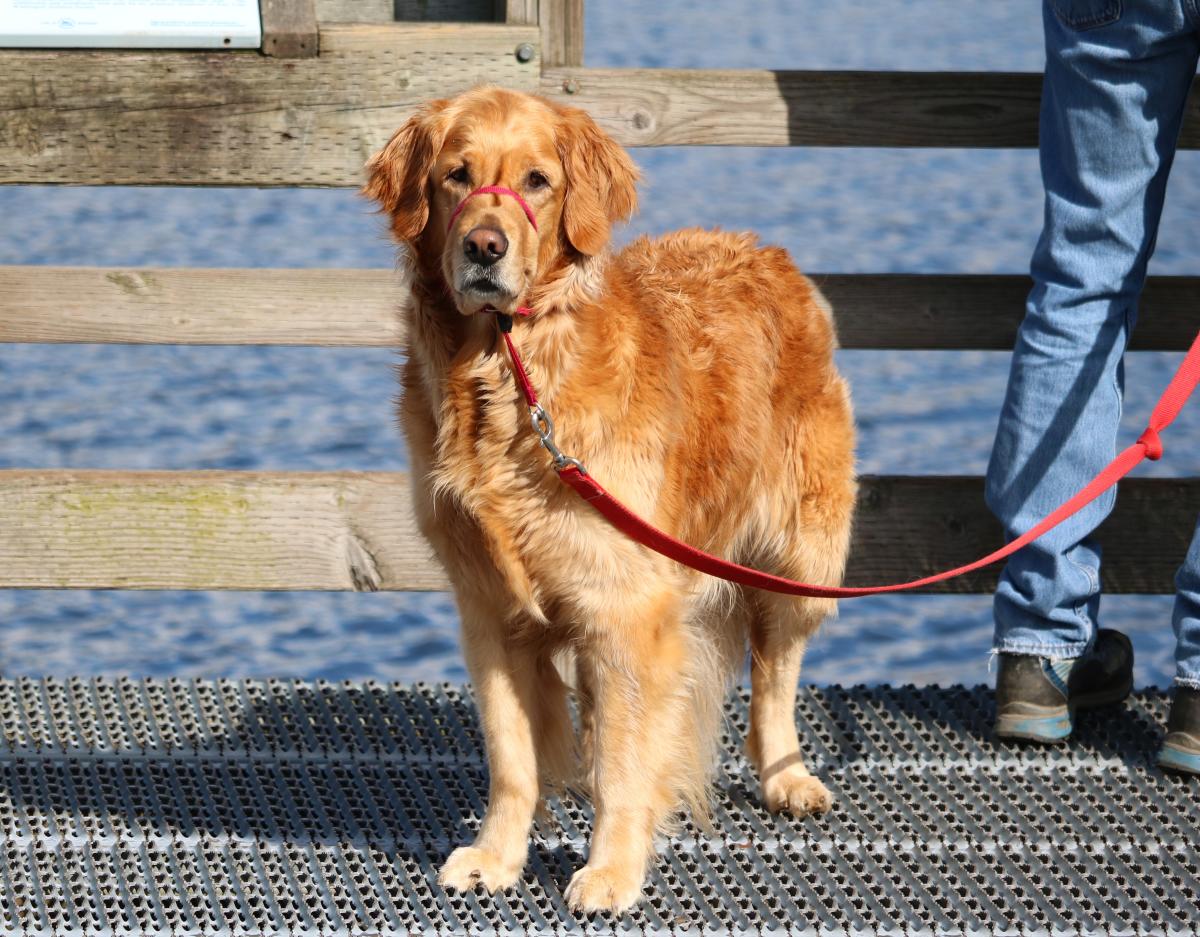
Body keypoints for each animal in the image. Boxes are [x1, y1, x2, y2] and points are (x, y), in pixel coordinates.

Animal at [362, 89, 854, 911]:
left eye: (537, 181)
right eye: (457, 176)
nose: (485, 247)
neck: (512, 375)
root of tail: (769, 255)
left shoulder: (629, 609)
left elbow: (628, 760)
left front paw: (613, 869)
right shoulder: (491, 611)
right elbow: (514, 757)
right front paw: (497, 856)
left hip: (801, 553)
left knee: (775, 669)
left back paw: (787, 777)